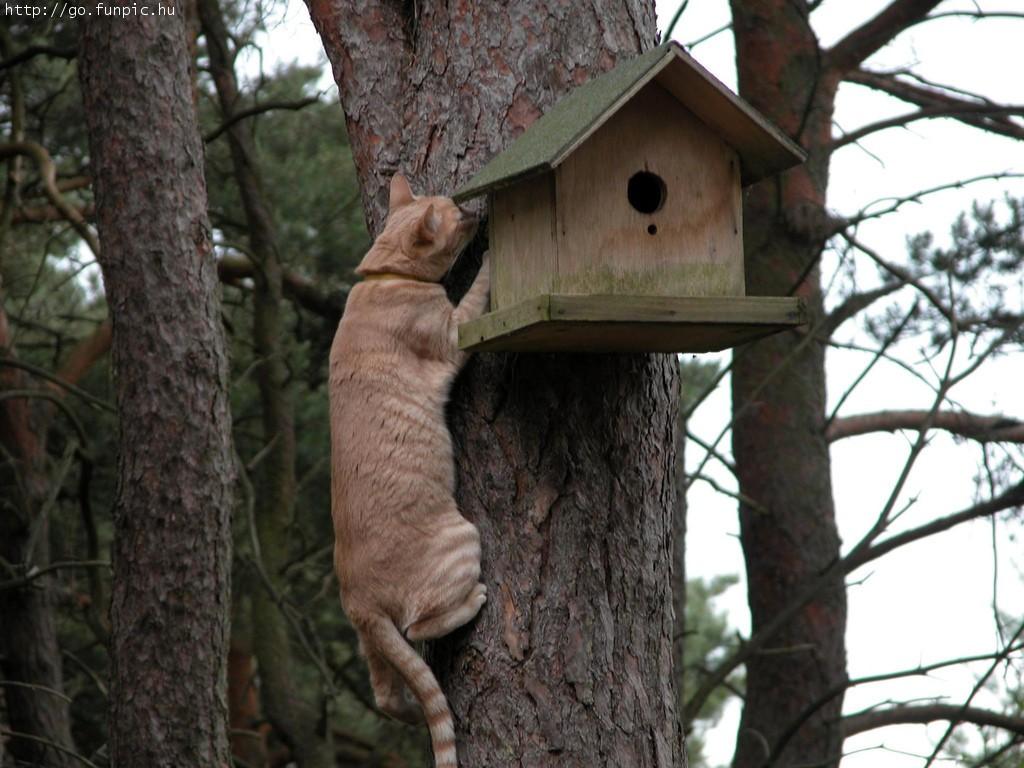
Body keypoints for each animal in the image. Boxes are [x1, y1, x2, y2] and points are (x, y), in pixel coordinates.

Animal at [327, 174, 487, 768]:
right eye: (455, 214)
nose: (476, 209)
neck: (384, 276)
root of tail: (357, 599)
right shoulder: (455, 331)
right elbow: (481, 289)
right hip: (464, 538)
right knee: (424, 625)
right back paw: (474, 601)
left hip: (373, 647)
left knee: (389, 694)